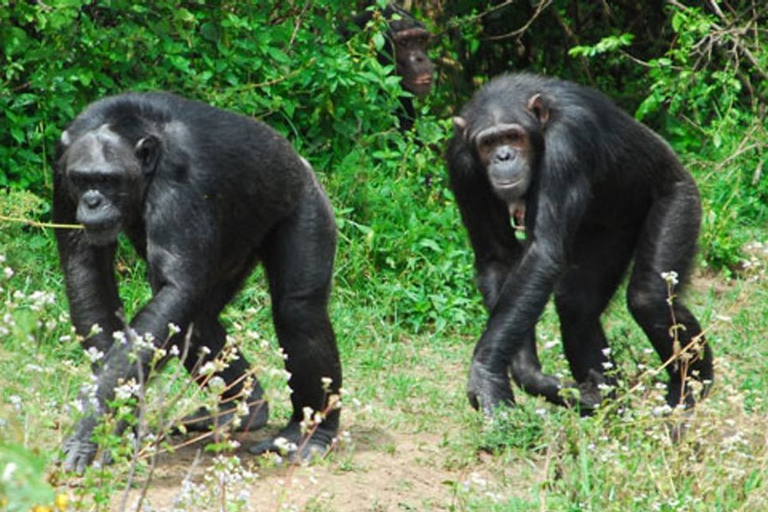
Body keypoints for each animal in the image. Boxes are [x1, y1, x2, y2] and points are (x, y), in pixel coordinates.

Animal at [54, 92, 342, 472]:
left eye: (108, 180)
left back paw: (312, 433)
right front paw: (120, 421)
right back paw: (243, 408)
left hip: (306, 202)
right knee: (198, 318)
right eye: (83, 179)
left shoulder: (182, 179)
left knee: (299, 312)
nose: (92, 201)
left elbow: (177, 288)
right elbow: (87, 273)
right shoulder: (61, 175)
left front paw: (94, 425)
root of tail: (301, 161)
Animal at [448, 72, 716, 416]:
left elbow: (542, 254)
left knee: (650, 298)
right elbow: (499, 256)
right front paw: (527, 374)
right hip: (607, 233)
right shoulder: (460, 163)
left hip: (680, 199)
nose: (503, 156)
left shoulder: (567, 143)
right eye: (487, 143)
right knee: (578, 303)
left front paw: (485, 374)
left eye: (512, 136)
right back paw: (607, 401)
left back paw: (690, 389)